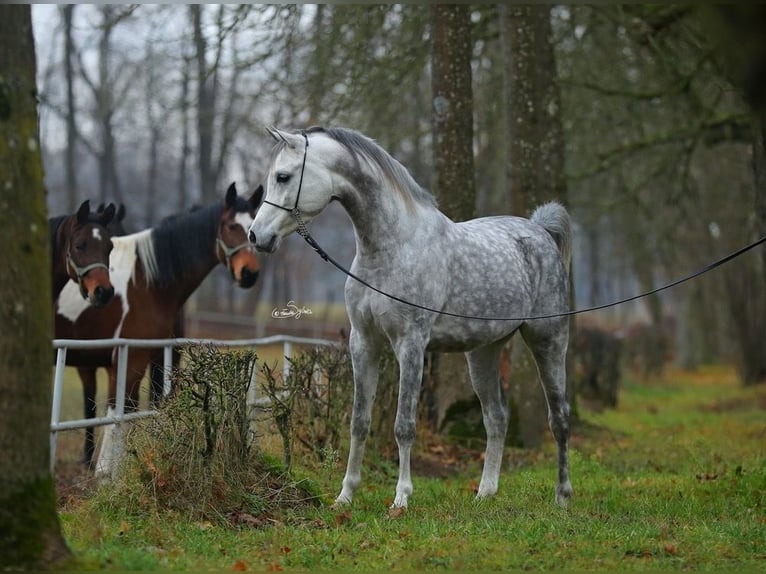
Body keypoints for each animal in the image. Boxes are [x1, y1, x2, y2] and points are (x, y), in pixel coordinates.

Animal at [54, 182, 264, 470]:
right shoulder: (129, 359)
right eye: (232, 226)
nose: (249, 273)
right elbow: (118, 414)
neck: (146, 281)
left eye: (254, 227)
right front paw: (106, 472)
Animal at [252, 128, 576, 510]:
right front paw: (345, 496)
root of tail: (541, 232)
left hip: (548, 340)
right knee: (496, 417)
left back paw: (562, 496)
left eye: (283, 176)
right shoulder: (363, 343)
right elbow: (359, 421)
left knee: (559, 418)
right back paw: (485, 493)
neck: (392, 248)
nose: (256, 236)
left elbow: (404, 425)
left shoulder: (410, 345)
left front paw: (401, 498)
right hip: (483, 351)